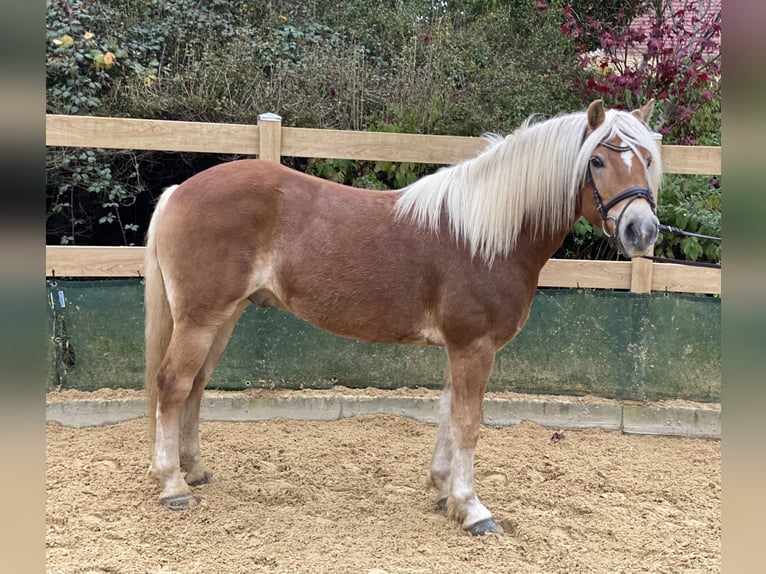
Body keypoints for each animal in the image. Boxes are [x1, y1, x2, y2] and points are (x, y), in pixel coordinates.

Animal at [147, 99, 664, 536]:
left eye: (646, 158)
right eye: (597, 161)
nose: (642, 231)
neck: (486, 234)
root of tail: (178, 191)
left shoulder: (462, 347)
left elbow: (448, 413)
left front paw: (444, 491)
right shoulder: (474, 345)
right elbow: (468, 422)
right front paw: (472, 508)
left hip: (223, 316)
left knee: (195, 386)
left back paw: (195, 470)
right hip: (200, 319)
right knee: (173, 384)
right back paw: (173, 484)